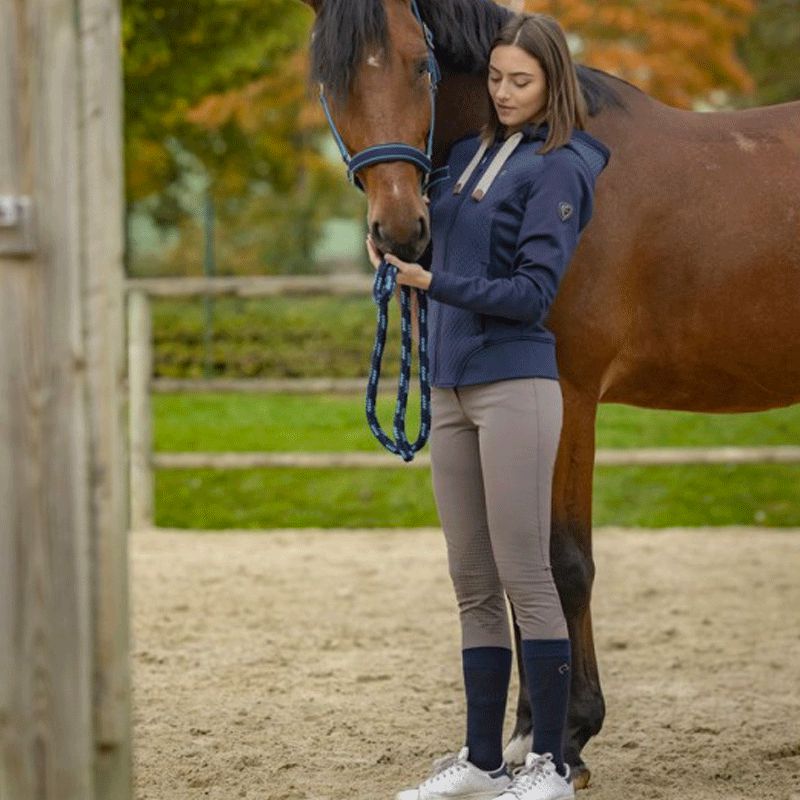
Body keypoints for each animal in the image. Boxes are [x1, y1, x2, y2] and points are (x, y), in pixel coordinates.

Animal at [304, 0, 800, 788]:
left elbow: (559, 560)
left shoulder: (565, 395)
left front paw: (567, 737)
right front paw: (519, 739)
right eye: (333, 77)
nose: (401, 231)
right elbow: (517, 566)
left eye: (421, 63)